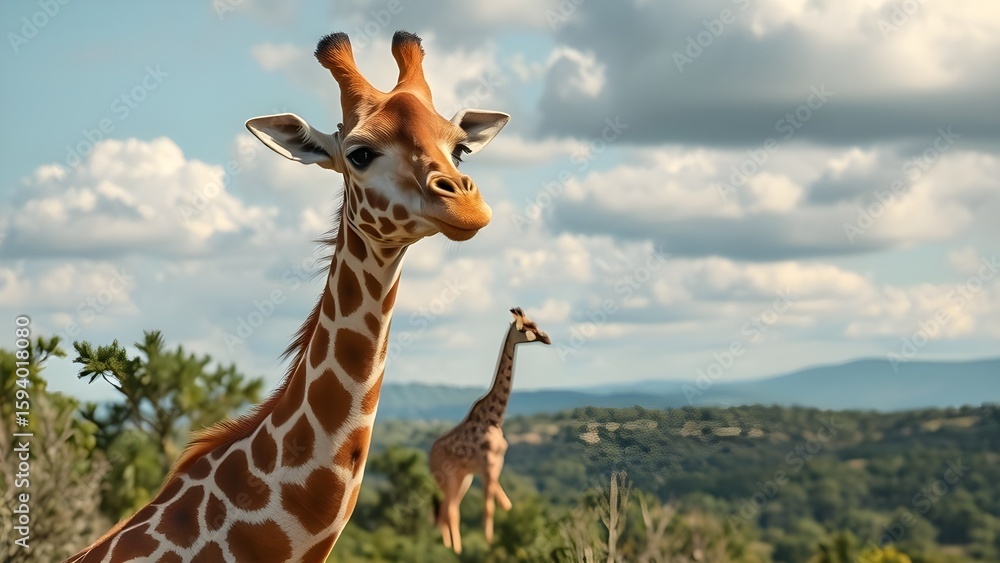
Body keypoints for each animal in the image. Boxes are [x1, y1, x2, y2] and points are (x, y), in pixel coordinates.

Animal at [429, 307, 551, 554]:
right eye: (527, 327)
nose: (547, 338)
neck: (495, 419)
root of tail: (428, 457)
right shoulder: (489, 464)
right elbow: (488, 509)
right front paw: (489, 545)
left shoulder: (495, 465)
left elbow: (502, 504)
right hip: (447, 478)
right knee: (448, 511)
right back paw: (454, 551)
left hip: (462, 477)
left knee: (448, 510)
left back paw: (451, 549)